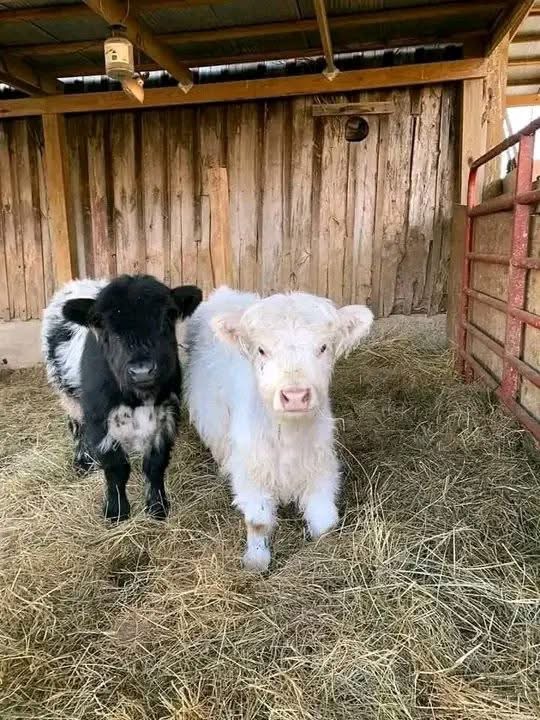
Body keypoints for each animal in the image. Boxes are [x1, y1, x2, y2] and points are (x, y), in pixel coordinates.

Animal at [42, 274, 202, 521]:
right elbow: (116, 468)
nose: (142, 370)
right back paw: (83, 461)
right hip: (67, 395)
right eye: (102, 324)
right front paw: (116, 510)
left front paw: (157, 506)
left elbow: (155, 465)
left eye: (168, 316)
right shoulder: (99, 419)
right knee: (76, 427)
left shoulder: (167, 414)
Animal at [183, 286, 374, 571]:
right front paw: (256, 560)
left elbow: (326, 525)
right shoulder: (251, 470)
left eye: (323, 347)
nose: (295, 396)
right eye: (261, 350)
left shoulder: (321, 466)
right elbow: (258, 522)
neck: (289, 435)